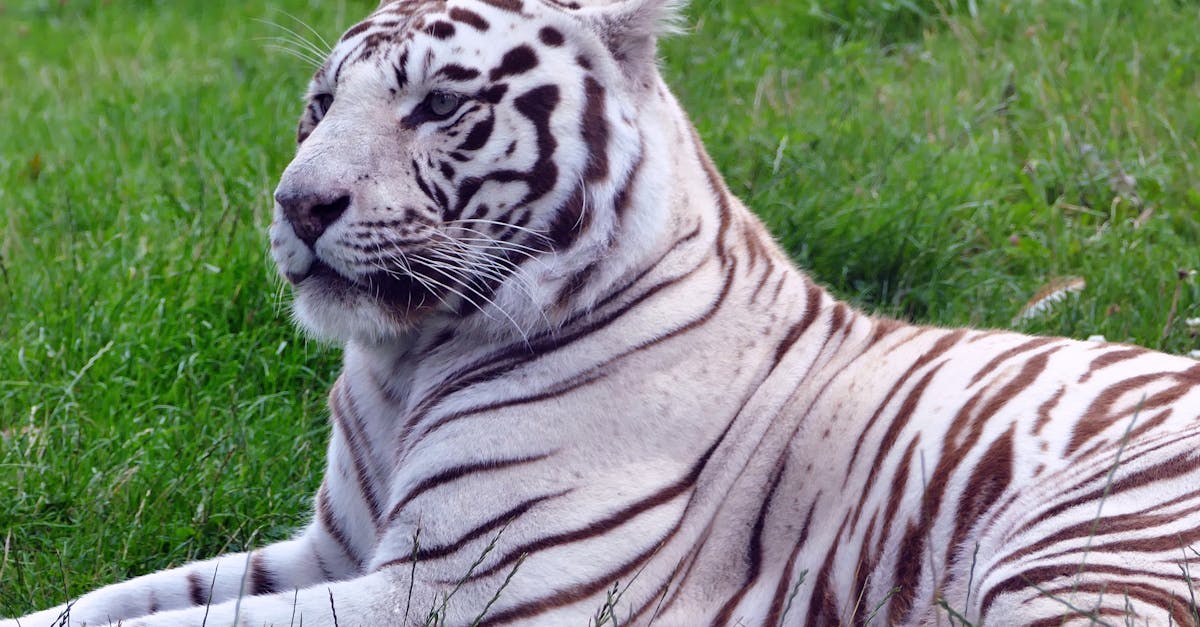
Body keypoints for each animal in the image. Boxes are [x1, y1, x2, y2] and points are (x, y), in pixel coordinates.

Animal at [5, 0, 1200, 625]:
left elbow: (187, 624)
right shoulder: (328, 549)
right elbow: (120, 600)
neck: (404, 364)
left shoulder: (448, 586)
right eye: (320, 104)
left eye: (438, 102)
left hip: (1076, 549)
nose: (299, 204)